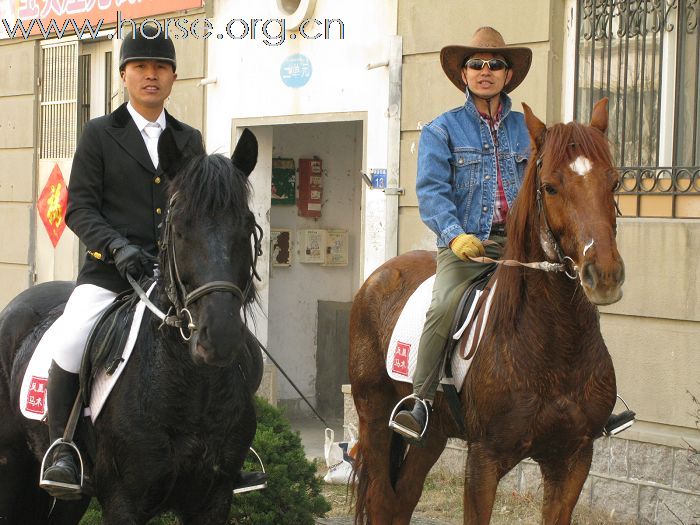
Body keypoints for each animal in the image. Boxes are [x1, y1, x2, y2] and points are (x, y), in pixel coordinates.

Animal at [0, 128, 266, 524]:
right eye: (179, 227)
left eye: (246, 225)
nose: (219, 337)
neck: (192, 388)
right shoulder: (124, 500)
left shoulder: (213, 500)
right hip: (13, 467)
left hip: (72, 497)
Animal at [350, 99, 624, 524]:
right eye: (551, 186)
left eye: (614, 182)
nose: (605, 275)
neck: (553, 343)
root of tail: (377, 277)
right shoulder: (485, 459)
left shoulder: (573, 458)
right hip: (374, 416)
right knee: (381, 499)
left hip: (434, 433)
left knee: (404, 497)